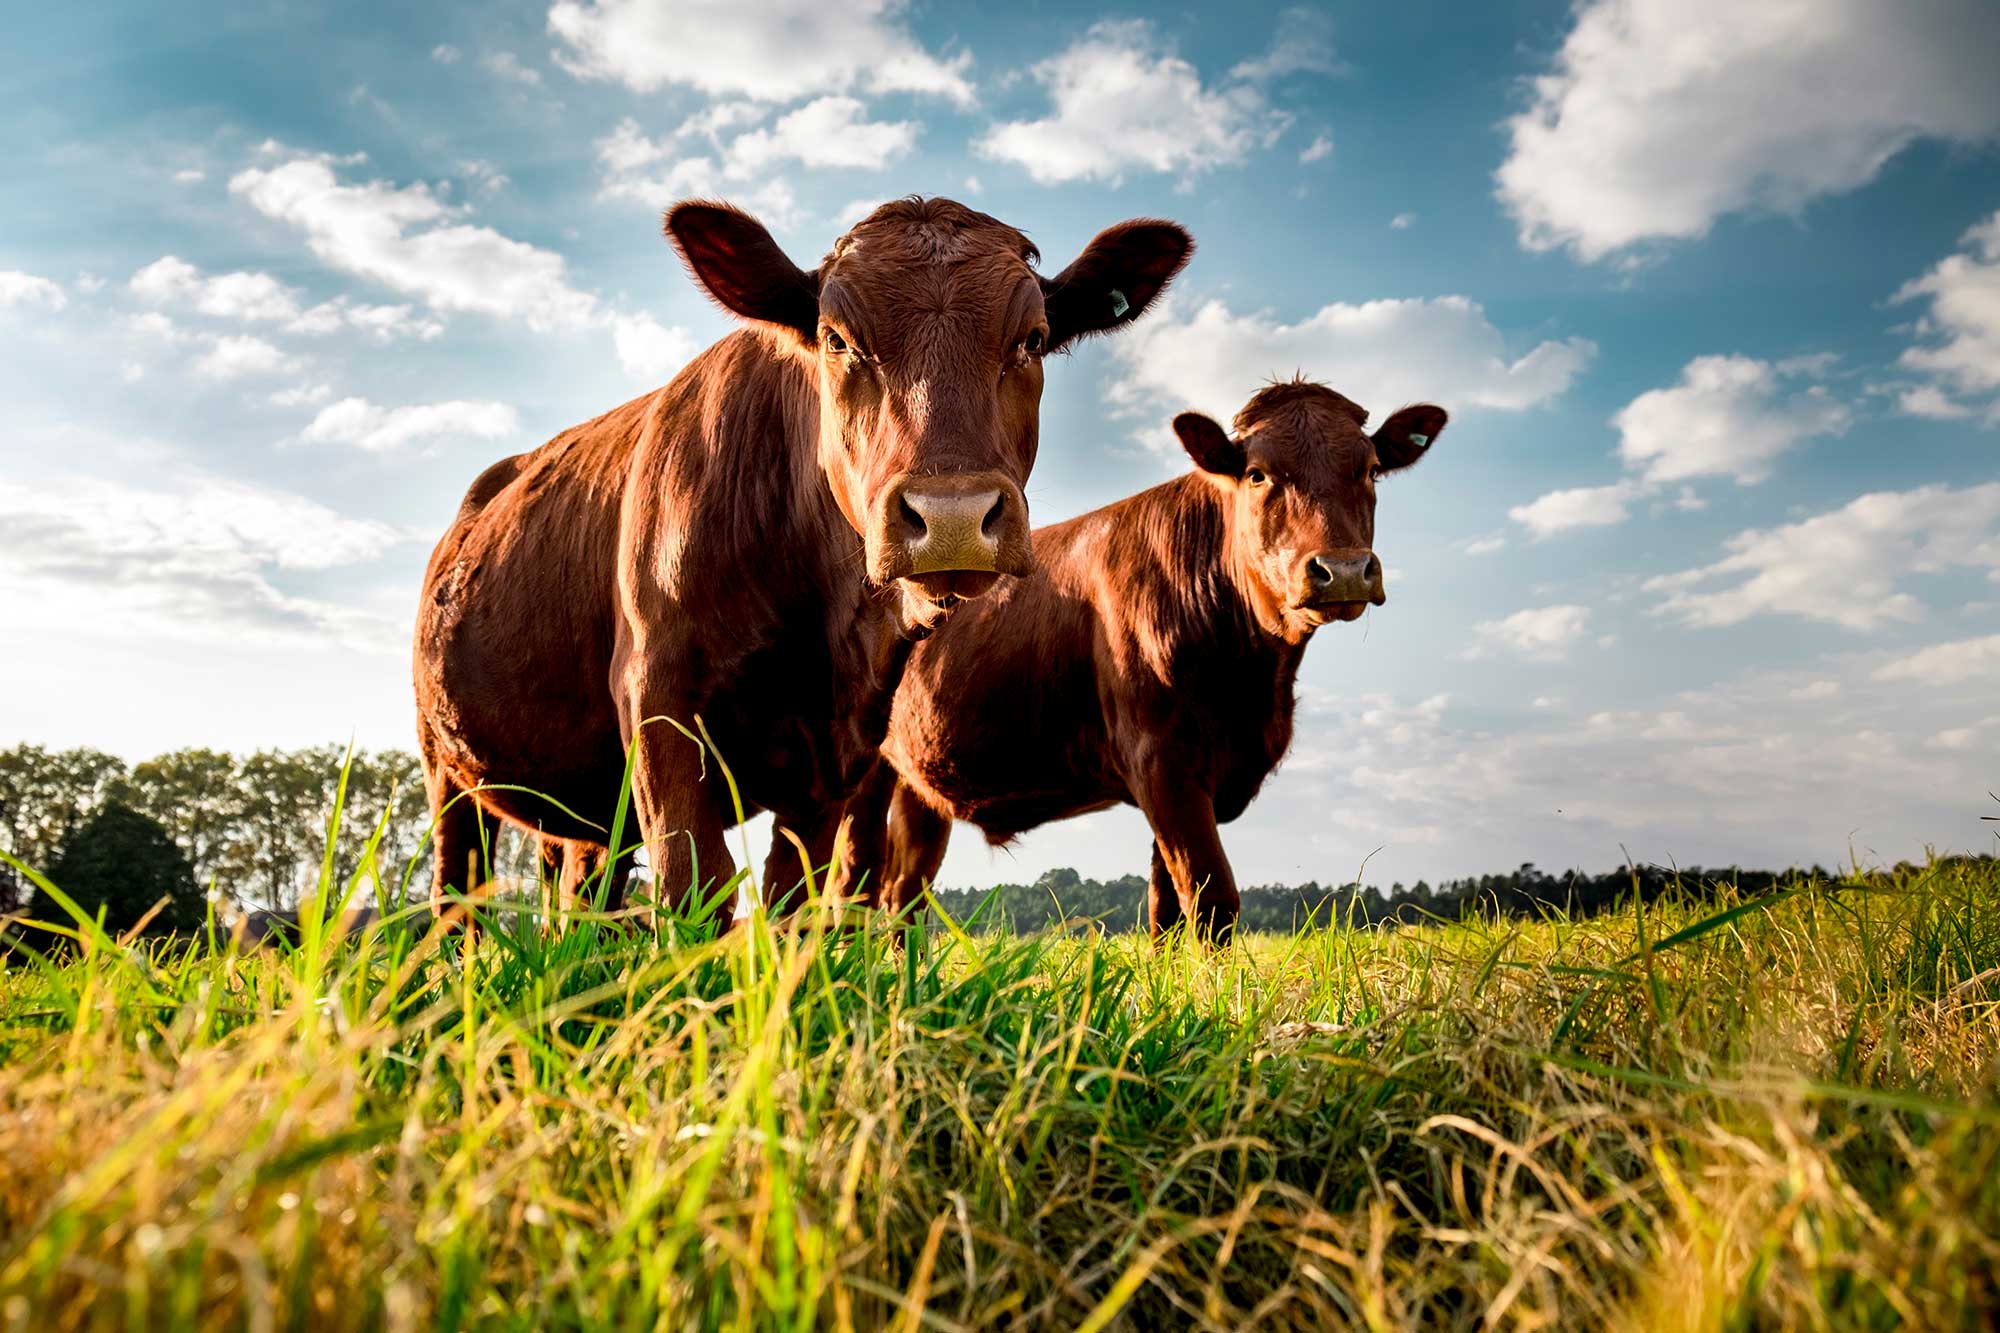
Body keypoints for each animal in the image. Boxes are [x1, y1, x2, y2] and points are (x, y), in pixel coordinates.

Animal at [406, 200, 1184, 924]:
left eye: (1033, 340)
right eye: (837, 339)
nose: (953, 517)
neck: (816, 612)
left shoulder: (839, 746)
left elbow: (791, 897)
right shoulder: (655, 692)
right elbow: (695, 877)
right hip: (446, 764)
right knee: (459, 891)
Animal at [832, 374, 1456, 940]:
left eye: (1369, 469)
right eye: (1258, 474)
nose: (1343, 569)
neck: (1254, 682)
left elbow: (1167, 910)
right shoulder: (1160, 757)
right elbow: (1212, 899)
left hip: (919, 783)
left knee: (903, 895)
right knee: (851, 888)